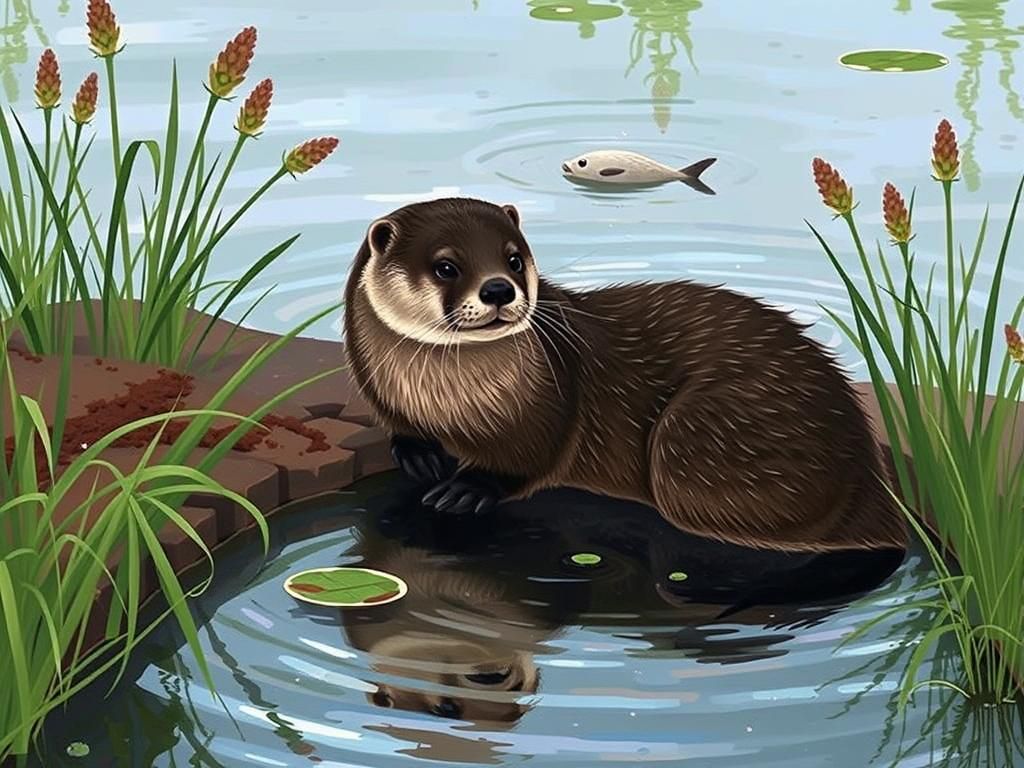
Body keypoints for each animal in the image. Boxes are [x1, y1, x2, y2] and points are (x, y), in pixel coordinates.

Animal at [342, 197, 908, 553]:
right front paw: (419, 454)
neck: (443, 401)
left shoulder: (551, 404)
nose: (499, 289)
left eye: (514, 257)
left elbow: (529, 459)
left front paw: (467, 489)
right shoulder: (379, 388)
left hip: (699, 435)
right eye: (445, 266)